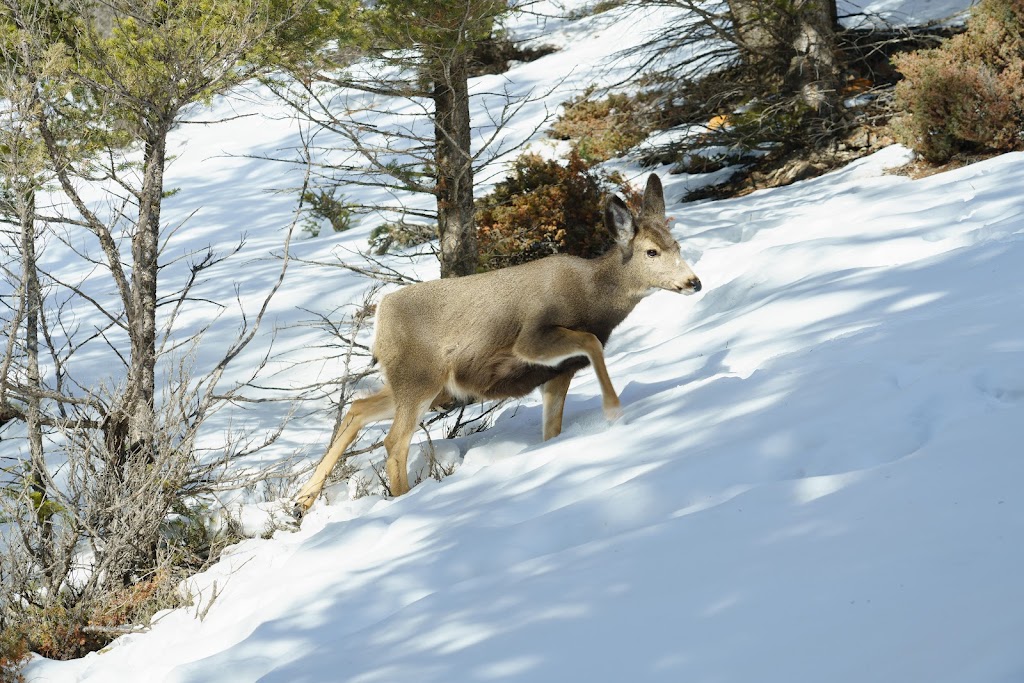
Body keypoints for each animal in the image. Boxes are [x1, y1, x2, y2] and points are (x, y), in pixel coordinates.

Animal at [292, 174, 700, 516]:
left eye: (677, 244)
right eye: (651, 252)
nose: (693, 282)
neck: (593, 298)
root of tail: (380, 316)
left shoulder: (557, 373)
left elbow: (552, 430)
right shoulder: (530, 339)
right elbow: (591, 343)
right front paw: (614, 411)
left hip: (420, 384)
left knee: (357, 409)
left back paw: (303, 499)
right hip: (419, 378)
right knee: (394, 441)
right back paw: (405, 501)